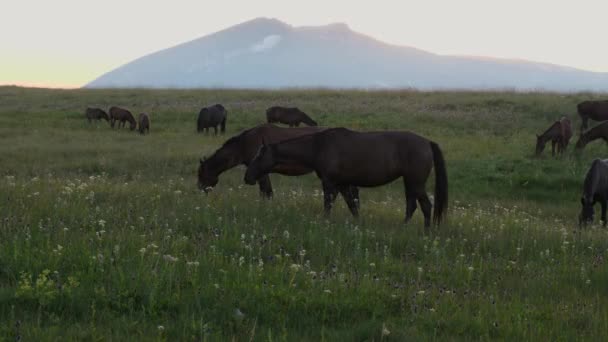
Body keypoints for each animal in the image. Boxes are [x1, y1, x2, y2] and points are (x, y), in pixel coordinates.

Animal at [242, 127, 446, 227]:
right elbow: (352, 206)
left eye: (259, 156)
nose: (247, 177)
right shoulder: (342, 184)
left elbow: (328, 205)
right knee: (412, 206)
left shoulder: (329, 183)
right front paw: (358, 224)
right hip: (409, 182)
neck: (318, 146)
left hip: (416, 182)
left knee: (426, 206)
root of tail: (427, 142)